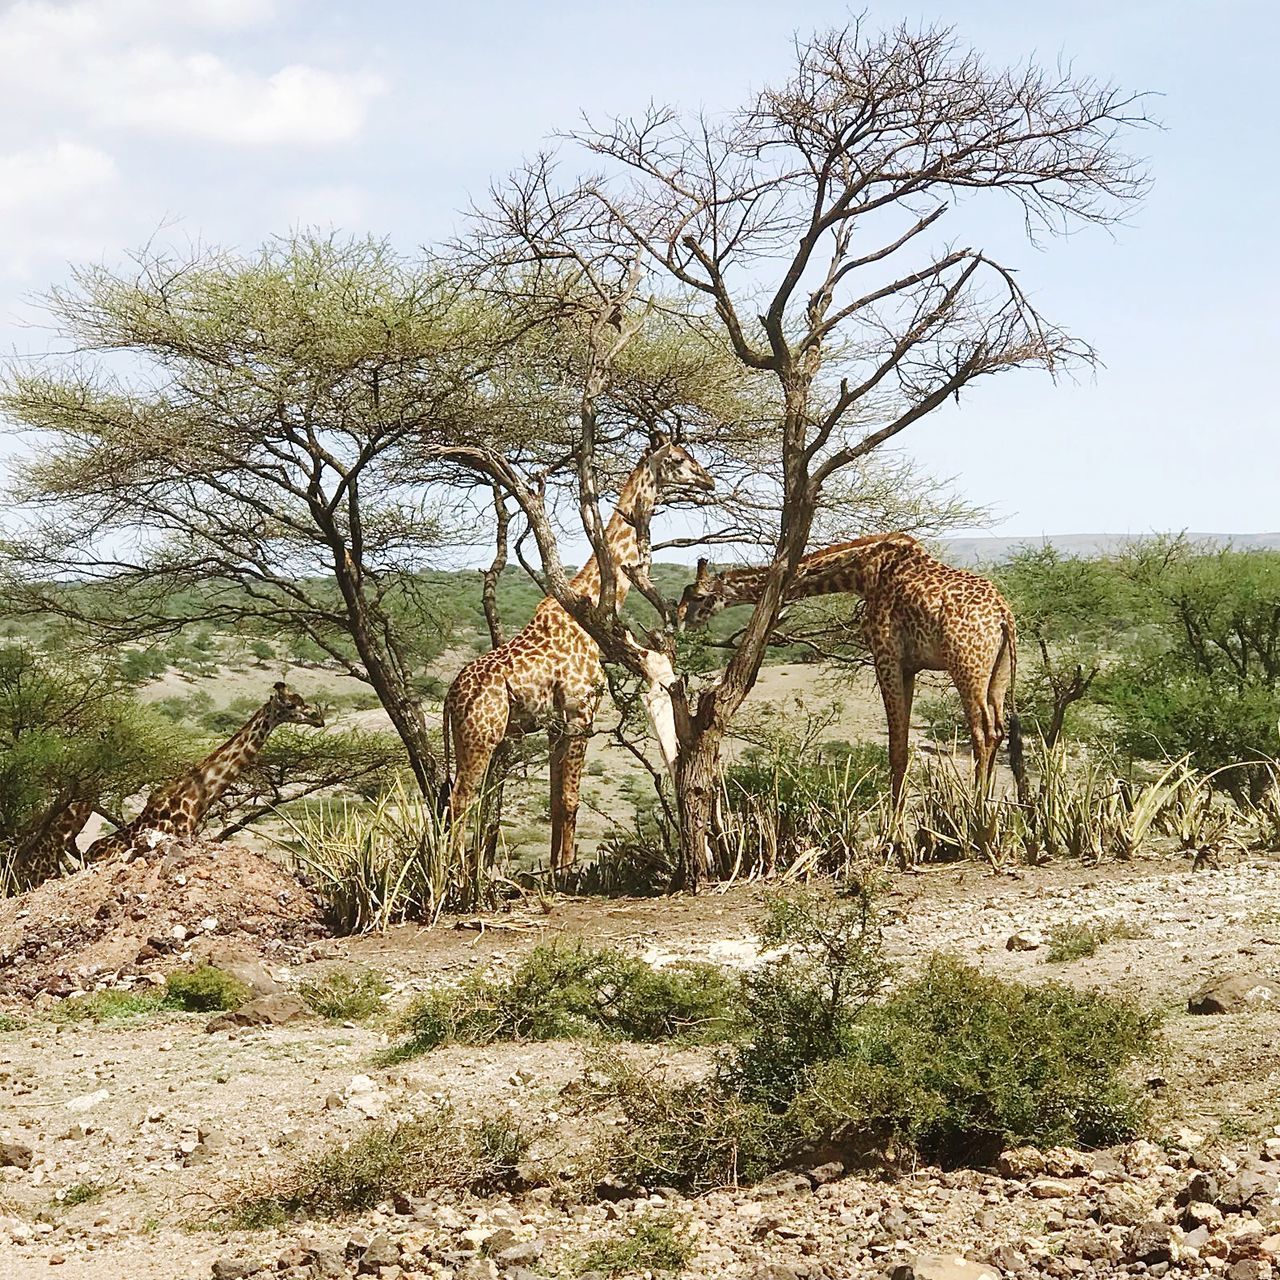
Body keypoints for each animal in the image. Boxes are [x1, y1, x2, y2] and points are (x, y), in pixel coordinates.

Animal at [445, 440, 716, 870]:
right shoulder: (579, 711)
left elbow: (558, 802)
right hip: (481, 737)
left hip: (472, 737)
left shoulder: (557, 723)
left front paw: (556, 871)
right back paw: (456, 877)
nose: (708, 480)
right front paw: (567, 872)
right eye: (678, 460)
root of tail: (450, 698)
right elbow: (571, 799)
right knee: (460, 801)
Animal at [680, 535, 1029, 803]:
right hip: (997, 673)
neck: (865, 573)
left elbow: (896, 749)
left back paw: (976, 811)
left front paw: (893, 835)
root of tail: (1004, 617)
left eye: (698, 596)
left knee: (983, 732)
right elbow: (900, 744)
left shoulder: (886, 656)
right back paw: (987, 806)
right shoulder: (909, 666)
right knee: (998, 730)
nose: (682, 620)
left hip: (966, 667)